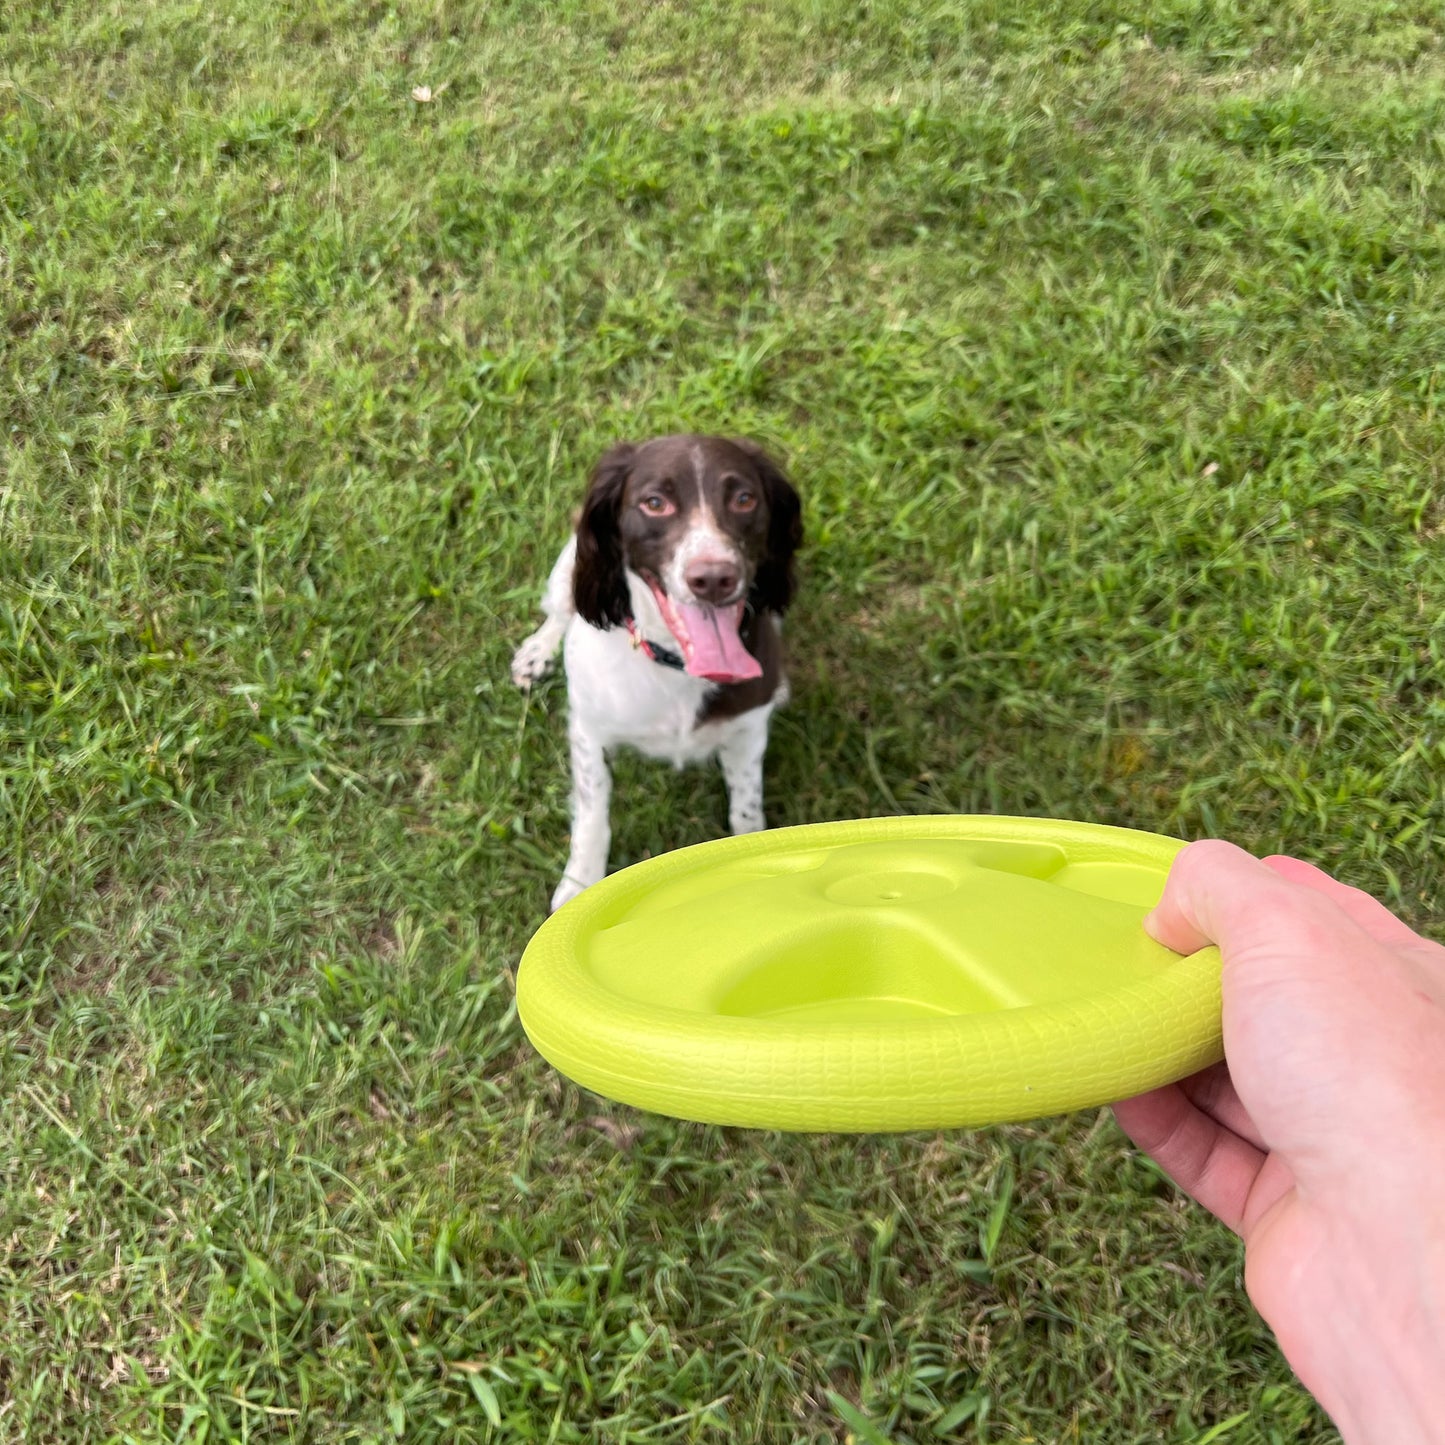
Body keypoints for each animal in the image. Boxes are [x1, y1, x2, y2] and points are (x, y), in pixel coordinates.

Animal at [508, 427, 803, 907]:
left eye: (744, 499)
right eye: (654, 502)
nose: (713, 578)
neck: (677, 664)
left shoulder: (747, 733)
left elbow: (746, 809)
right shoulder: (588, 730)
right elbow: (593, 815)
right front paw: (580, 887)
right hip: (570, 567)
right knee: (561, 610)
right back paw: (538, 651)